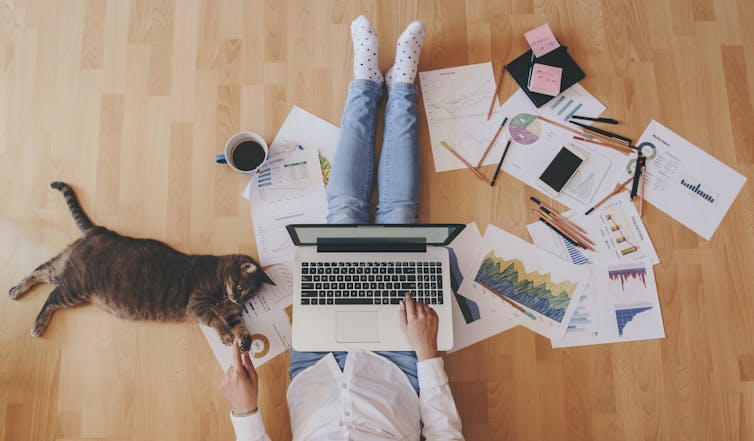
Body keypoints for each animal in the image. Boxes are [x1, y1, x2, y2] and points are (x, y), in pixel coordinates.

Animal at [8, 180, 274, 350]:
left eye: (249, 295)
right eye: (240, 288)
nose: (238, 300)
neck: (221, 281)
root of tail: (100, 230)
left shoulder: (231, 314)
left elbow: (241, 326)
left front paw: (245, 340)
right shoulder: (197, 305)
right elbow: (217, 321)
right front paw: (227, 337)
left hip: (64, 269)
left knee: (38, 271)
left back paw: (15, 291)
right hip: (76, 286)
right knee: (51, 297)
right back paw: (37, 326)